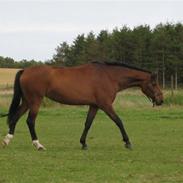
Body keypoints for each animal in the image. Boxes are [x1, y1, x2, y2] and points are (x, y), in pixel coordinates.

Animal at [1, 62, 163, 151]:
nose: (161, 99)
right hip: (35, 101)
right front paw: (128, 142)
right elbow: (118, 121)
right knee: (30, 121)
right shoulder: (105, 105)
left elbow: (88, 124)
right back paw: (38, 145)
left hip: (27, 101)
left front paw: (83, 143)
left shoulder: (94, 106)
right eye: (154, 83)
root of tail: (25, 70)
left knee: (15, 118)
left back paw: (7, 140)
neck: (109, 76)